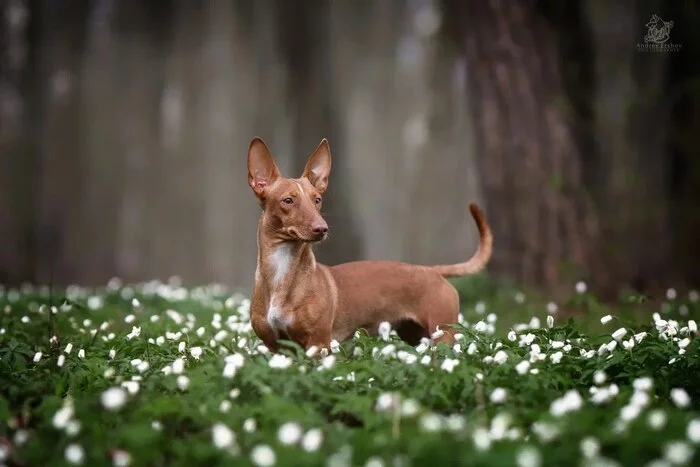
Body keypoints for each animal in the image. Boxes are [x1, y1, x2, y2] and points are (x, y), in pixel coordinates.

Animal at [246, 138, 492, 354]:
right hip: (415, 336)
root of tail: (432, 270)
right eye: (288, 201)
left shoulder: (318, 345)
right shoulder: (276, 348)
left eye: (317, 200)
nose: (322, 228)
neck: (282, 272)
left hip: (443, 335)